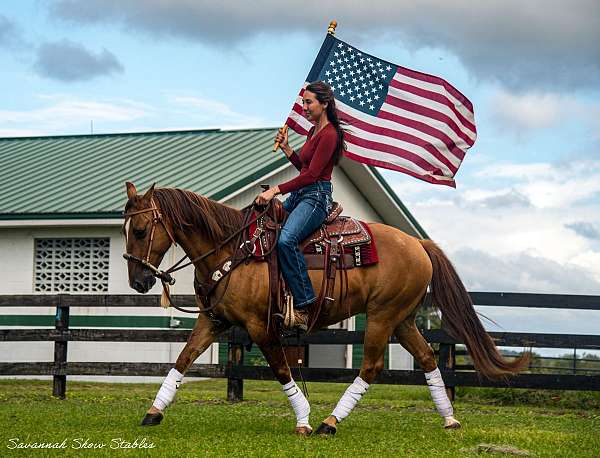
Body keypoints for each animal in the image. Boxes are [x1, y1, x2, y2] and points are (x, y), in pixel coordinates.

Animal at [124, 181, 528, 434]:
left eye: (141, 230)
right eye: (126, 230)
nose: (138, 282)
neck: (234, 250)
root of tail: (418, 243)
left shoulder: (260, 328)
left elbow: (282, 371)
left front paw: (303, 419)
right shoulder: (213, 321)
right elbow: (182, 360)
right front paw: (153, 412)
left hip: (382, 317)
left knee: (371, 367)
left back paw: (329, 423)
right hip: (403, 320)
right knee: (428, 359)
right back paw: (449, 419)